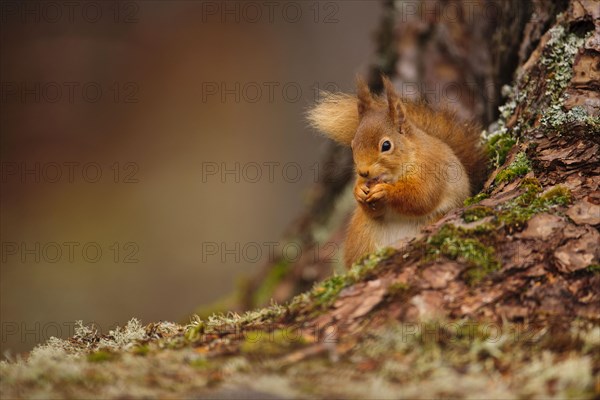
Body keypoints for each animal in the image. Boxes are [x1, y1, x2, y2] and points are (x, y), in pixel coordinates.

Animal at [310, 76, 488, 268]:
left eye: (386, 145)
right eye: (352, 146)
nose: (363, 172)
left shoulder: (432, 168)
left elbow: (420, 197)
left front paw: (385, 191)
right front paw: (358, 191)